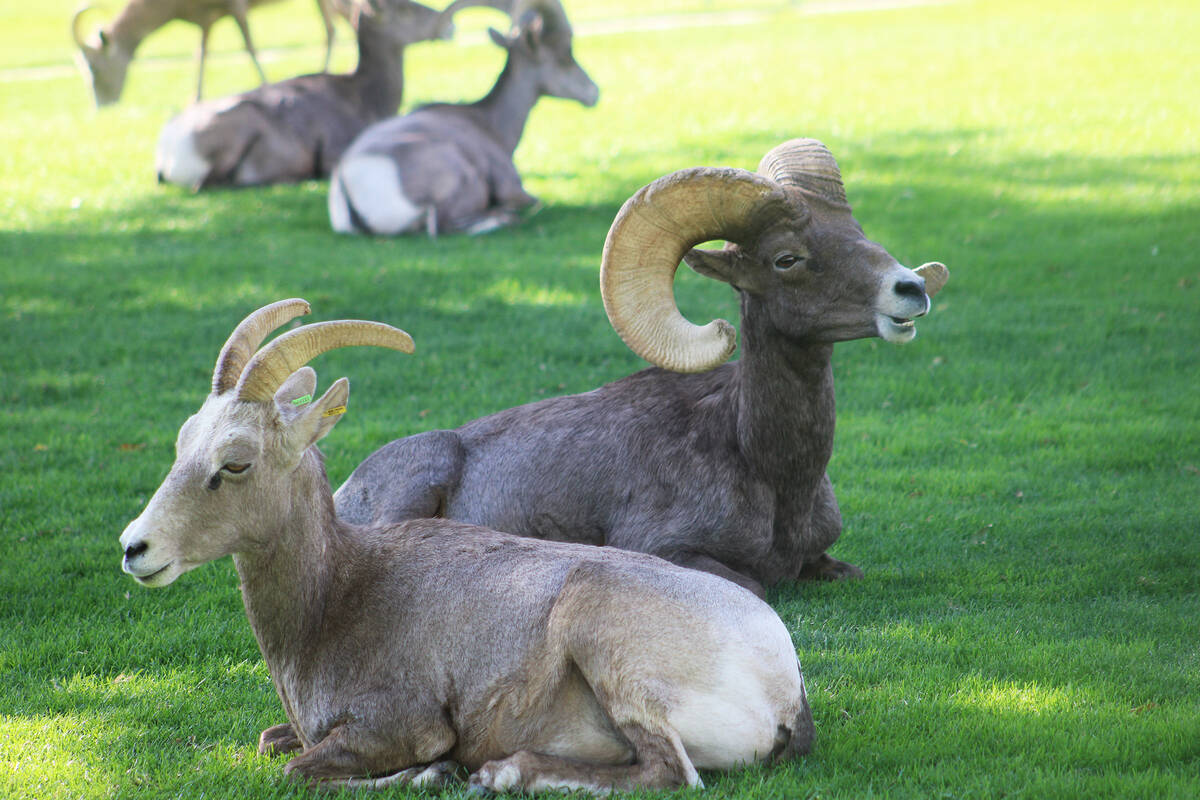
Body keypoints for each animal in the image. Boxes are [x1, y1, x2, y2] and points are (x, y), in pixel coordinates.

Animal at [119, 299, 816, 796]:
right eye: (184, 441)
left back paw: (499, 774)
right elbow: (273, 744)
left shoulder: (397, 727)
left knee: (671, 773)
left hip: (606, 646)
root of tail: (782, 683)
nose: (136, 549)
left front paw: (435, 772)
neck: (337, 597)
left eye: (235, 463)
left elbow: (301, 771)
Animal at [156, 0, 492, 190]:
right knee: (206, 184)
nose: (450, 27)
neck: (365, 98)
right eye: (405, 9)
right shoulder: (336, 150)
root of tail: (168, 151)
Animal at [328, 0, 595, 237]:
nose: (593, 92)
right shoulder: (513, 188)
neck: (488, 123)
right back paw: (503, 217)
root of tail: (347, 183)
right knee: (439, 225)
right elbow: (535, 201)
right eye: (564, 55)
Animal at [336, 140, 945, 597]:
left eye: (859, 234)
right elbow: (755, 586)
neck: (768, 467)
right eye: (787, 258)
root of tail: (346, 490)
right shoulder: (664, 549)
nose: (910, 290)